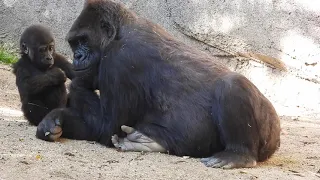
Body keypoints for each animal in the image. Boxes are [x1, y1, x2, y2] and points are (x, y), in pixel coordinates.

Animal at [37, 0, 280, 169]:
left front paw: (74, 89)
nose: (77, 56)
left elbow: (105, 127)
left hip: (269, 128)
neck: (120, 30)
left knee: (233, 85)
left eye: (84, 41)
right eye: (74, 43)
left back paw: (239, 155)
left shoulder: (121, 59)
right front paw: (53, 120)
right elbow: (94, 127)